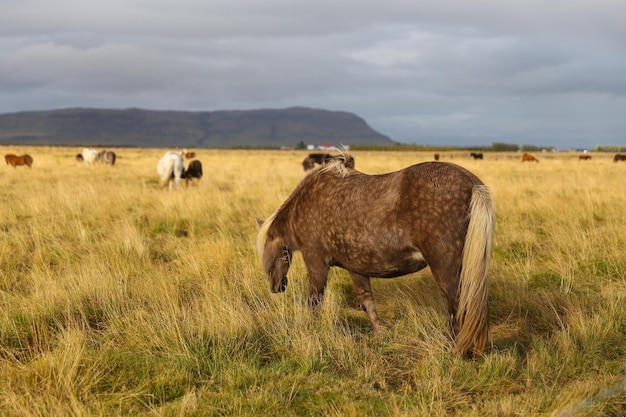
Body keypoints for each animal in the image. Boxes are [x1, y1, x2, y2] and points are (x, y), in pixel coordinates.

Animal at [256, 158, 494, 356]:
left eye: (268, 250)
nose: (276, 286)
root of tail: (472, 184)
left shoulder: (316, 262)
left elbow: (315, 301)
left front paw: (310, 332)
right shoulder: (356, 268)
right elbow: (367, 302)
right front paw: (380, 334)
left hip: (445, 268)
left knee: (458, 305)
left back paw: (453, 347)